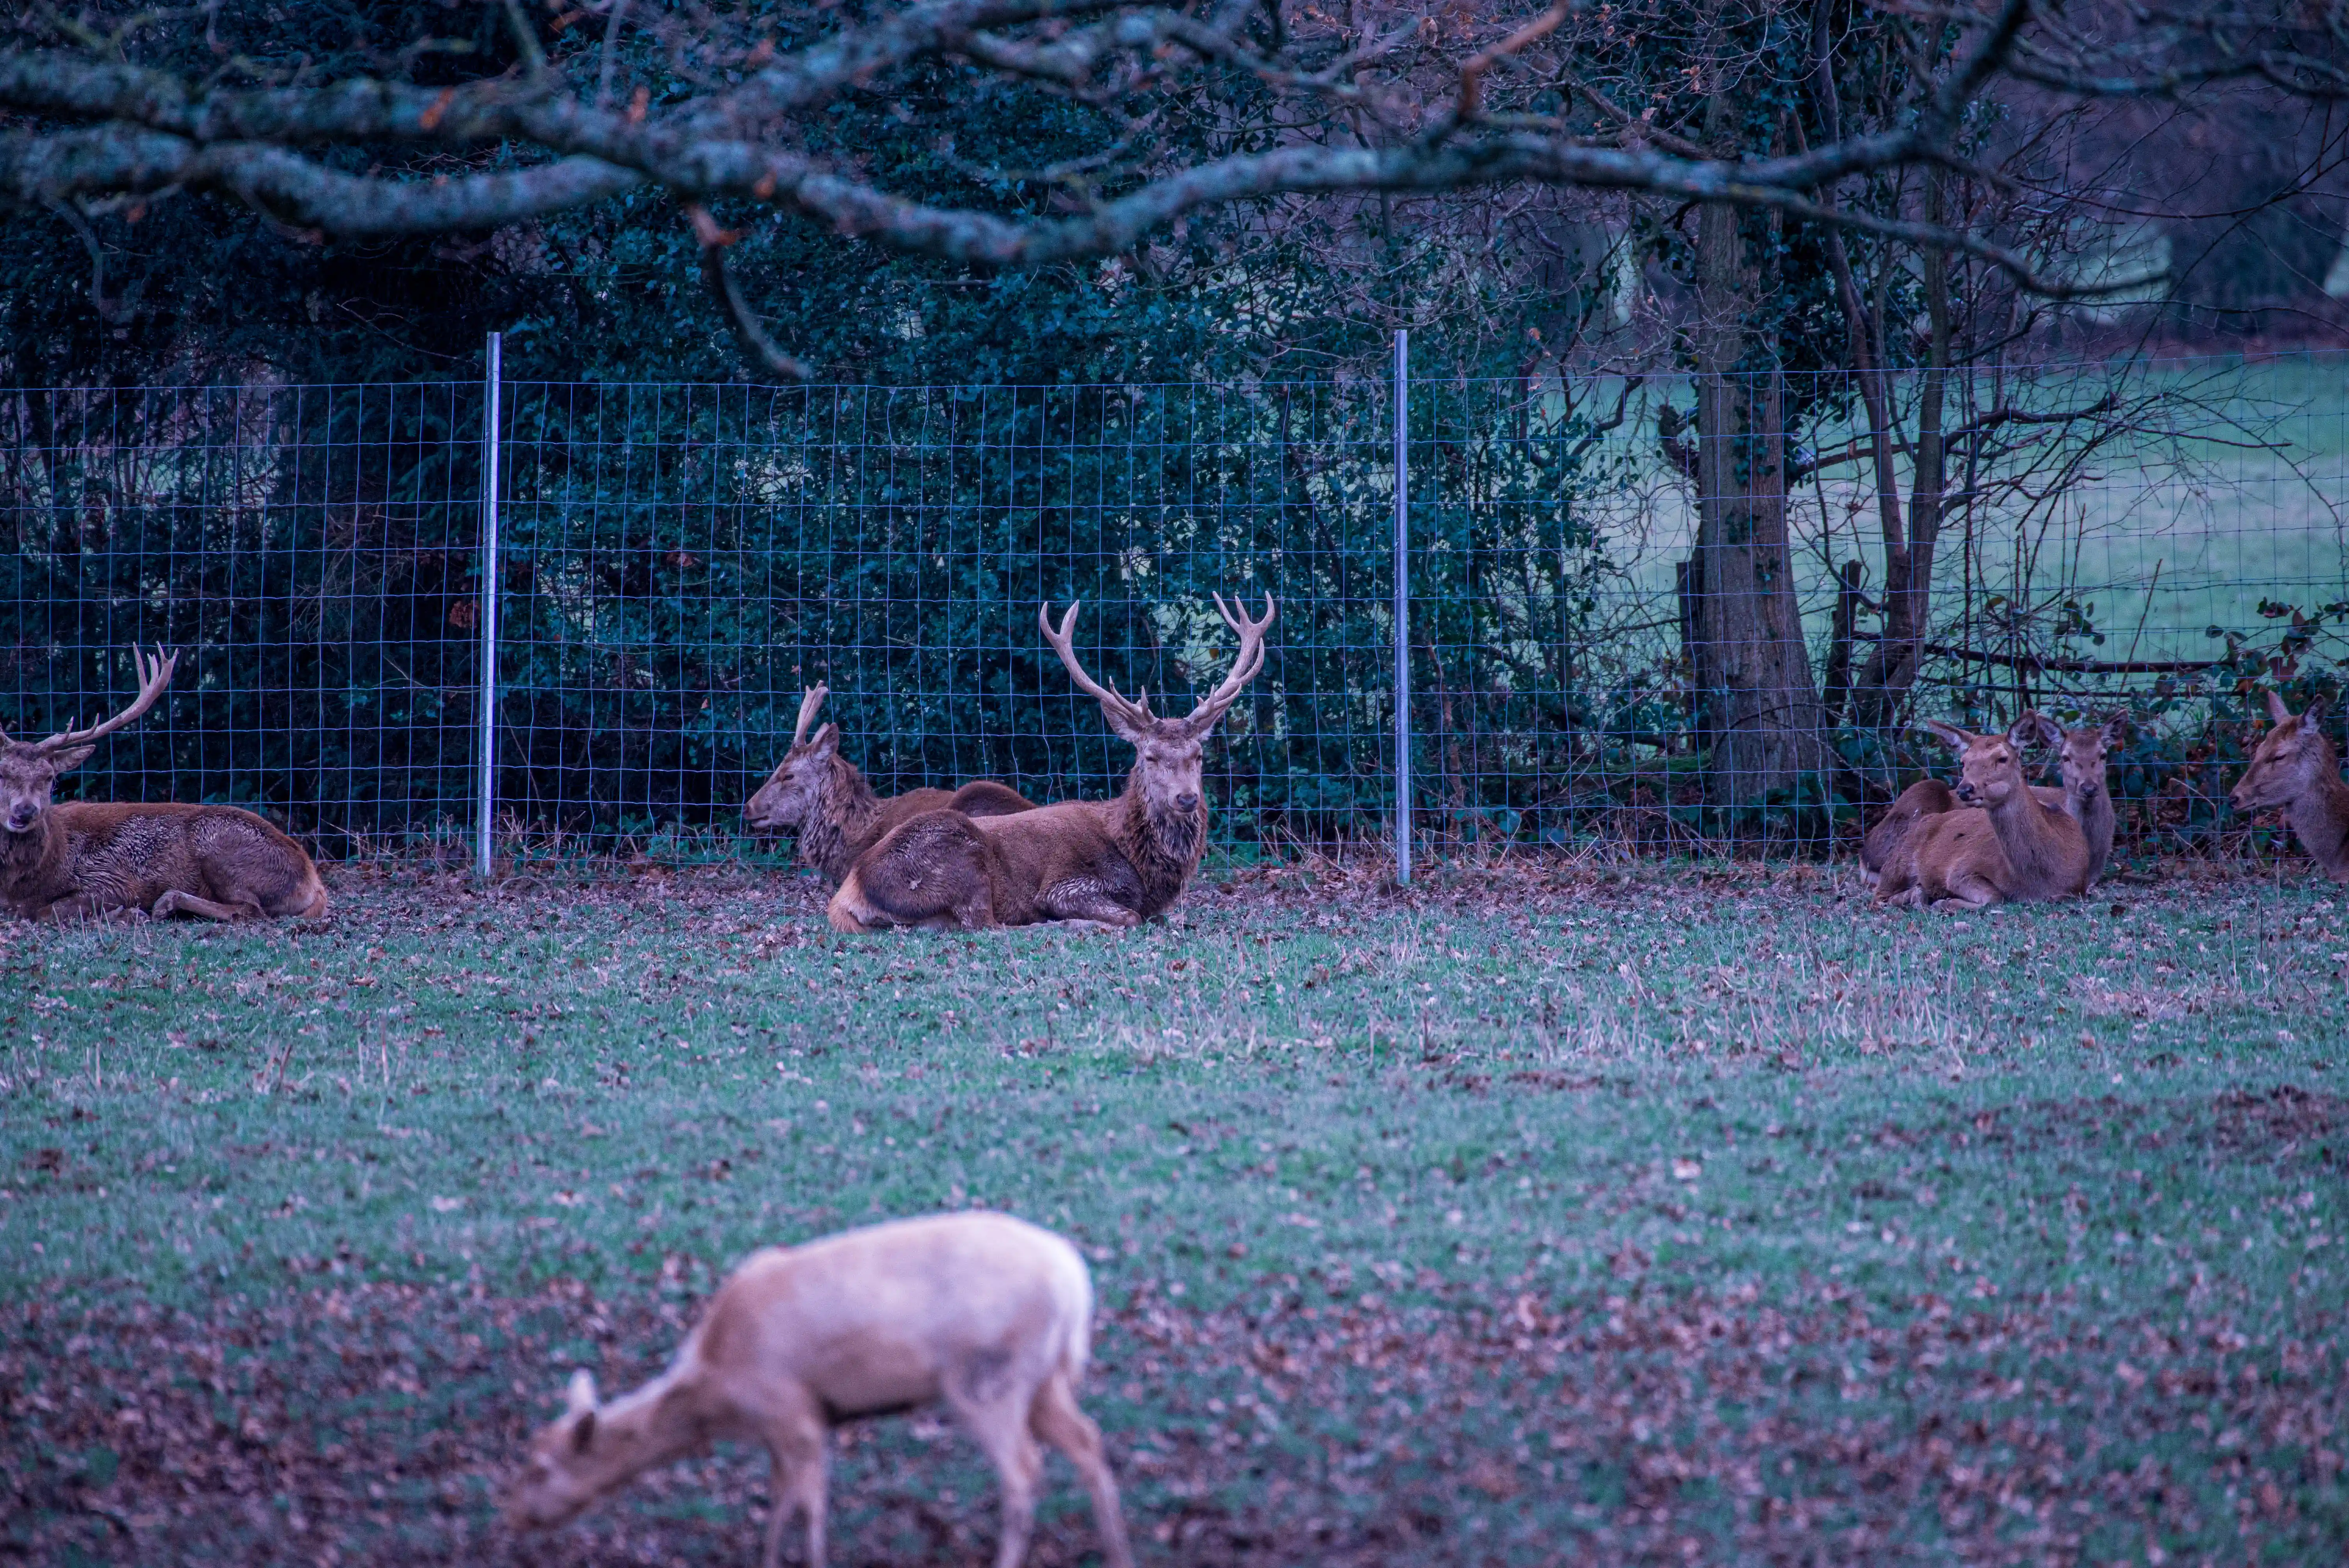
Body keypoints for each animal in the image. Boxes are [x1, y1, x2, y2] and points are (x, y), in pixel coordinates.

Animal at [1, 647, 328, 923]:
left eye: (49, 777)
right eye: (3, 772)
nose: (26, 811)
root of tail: (313, 881)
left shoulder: (110, 878)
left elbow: (48, 911)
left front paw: (126, 912)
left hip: (220, 844)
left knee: (250, 909)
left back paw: (166, 904)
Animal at [504, 1211, 1135, 1568]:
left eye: (540, 1468)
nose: (513, 1518)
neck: (719, 1392)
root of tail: (1075, 1284)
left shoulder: (793, 1412)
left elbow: (806, 1503)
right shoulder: (786, 1427)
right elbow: (782, 1497)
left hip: (985, 1377)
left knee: (1024, 1468)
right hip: (1044, 1380)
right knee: (1088, 1440)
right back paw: (1118, 1553)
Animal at [826, 594, 1272, 933]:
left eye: (1198, 754)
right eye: (1150, 756)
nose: (1186, 798)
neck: (1140, 863)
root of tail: (849, 892)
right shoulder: (1064, 886)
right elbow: (1130, 915)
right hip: (959, 858)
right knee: (986, 925)